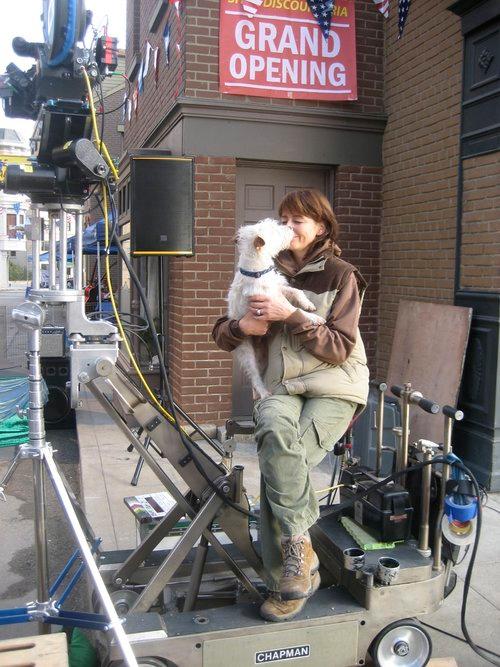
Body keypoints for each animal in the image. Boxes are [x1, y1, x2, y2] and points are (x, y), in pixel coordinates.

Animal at [227, 217, 324, 400]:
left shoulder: (279, 290)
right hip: (247, 353)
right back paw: (264, 393)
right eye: (273, 230)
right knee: (255, 377)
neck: (257, 271)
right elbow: (295, 311)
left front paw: (307, 303)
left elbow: (296, 291)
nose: (290, 229)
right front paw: (314, 318)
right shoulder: (266, 305)